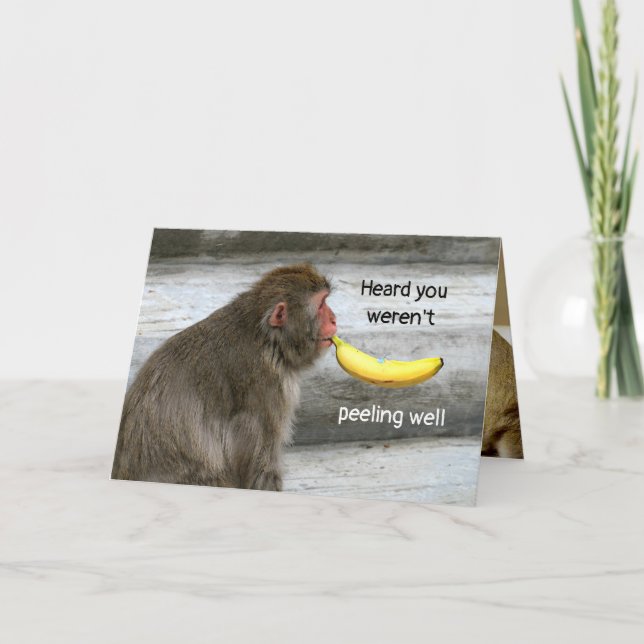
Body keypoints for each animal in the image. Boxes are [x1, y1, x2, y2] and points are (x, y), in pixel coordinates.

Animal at [111, 263, 337, 492]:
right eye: (321, 305)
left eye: (326, 301)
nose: (334, 319)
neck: (267, 338)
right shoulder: (269, 387)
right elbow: (261, 466)